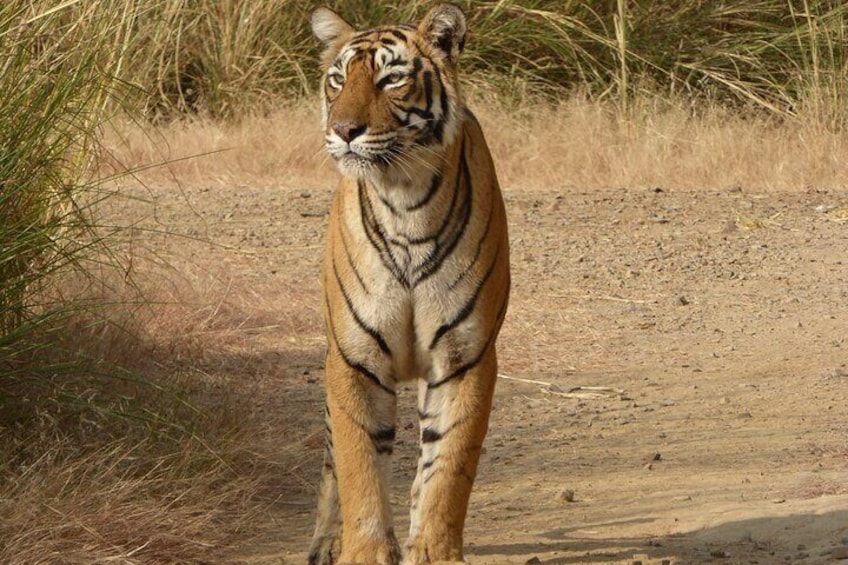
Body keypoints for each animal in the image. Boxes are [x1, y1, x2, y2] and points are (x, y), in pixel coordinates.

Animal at [310, 5, 510, 564]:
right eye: (338, 79)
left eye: (391, 79)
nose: (344, 130)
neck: (405, 203)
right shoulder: (353, 358)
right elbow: (358, 465)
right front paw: (363, 551)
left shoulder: (465, 356)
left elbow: (449, 468)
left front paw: (434, 551)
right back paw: (325, 541)